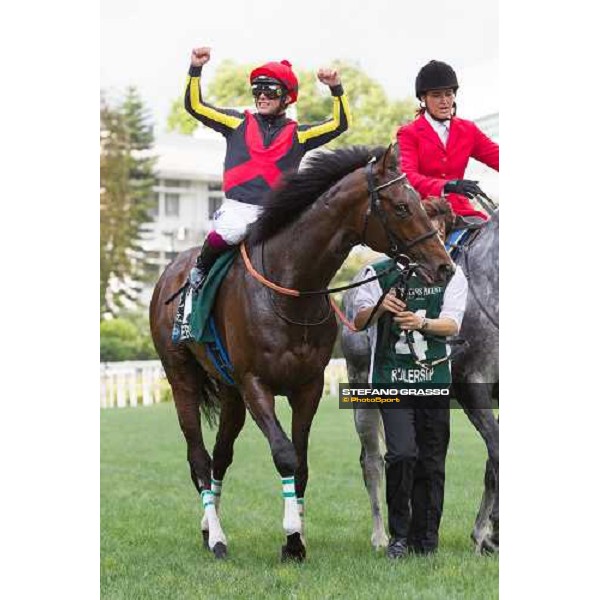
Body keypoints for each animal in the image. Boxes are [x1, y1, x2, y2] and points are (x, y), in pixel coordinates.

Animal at [150, 145, 454, 564]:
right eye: (402, 206)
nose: (444, 266)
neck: (292, 287)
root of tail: (171, 270)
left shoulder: (307, 385)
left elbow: (303, 462)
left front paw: (297, 536)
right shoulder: (255, 383)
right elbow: (284, 454)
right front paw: (293, 534)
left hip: (230, 395)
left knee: (221, 454)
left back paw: (208, 527)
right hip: (182, 379)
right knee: (198, 457)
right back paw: (217, 538)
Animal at [340, 210, 500, 552]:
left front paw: (488, 534)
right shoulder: (472, 388)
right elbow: (497, 452)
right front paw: (487, 533)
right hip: (362, 393)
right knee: (372, 461)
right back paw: (380, 536)